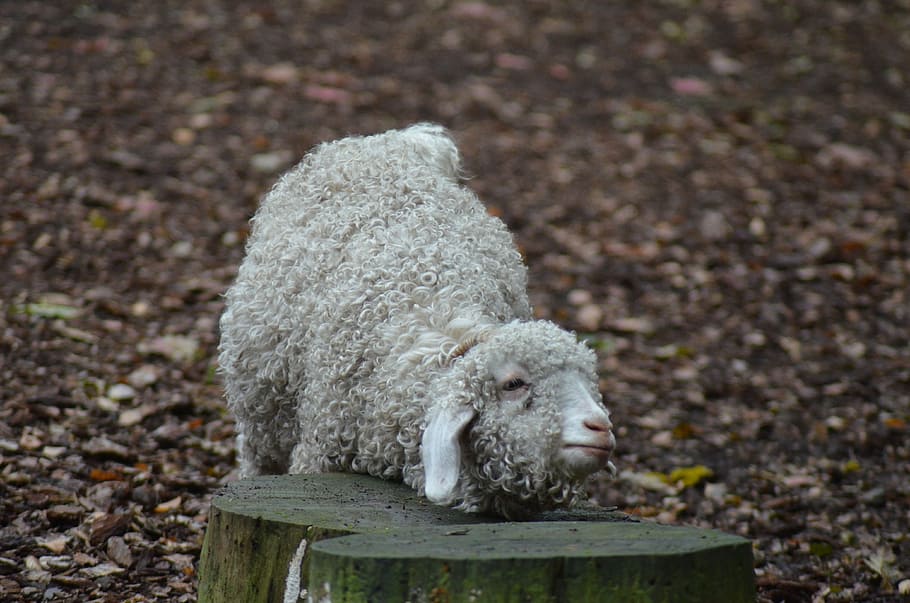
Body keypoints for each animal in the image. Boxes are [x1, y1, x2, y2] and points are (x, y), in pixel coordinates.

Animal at [218, 123, 616, 519]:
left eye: (588, 378)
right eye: (513, 384)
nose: (600, 427)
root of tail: (388, 141)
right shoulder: (320, 451)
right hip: (260, 405)